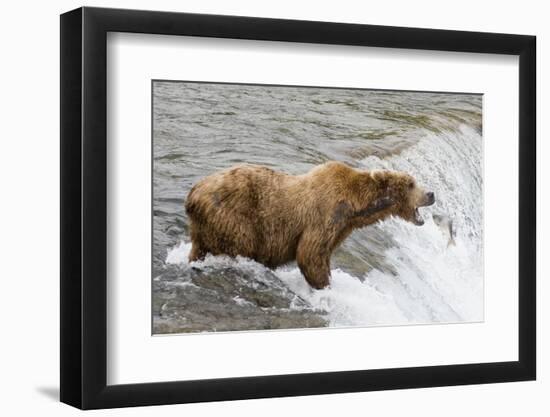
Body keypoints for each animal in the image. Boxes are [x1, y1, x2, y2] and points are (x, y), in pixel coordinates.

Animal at [185, 161, 436, 288]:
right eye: (411, 184)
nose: (431, 194)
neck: (356, 207)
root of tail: (194, 193)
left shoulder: (341, 227)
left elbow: (322, 254)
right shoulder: (325, 216)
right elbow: (310, 253)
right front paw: (324, 286)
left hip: (205, 228)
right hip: (234, 217)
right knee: (240, 244)